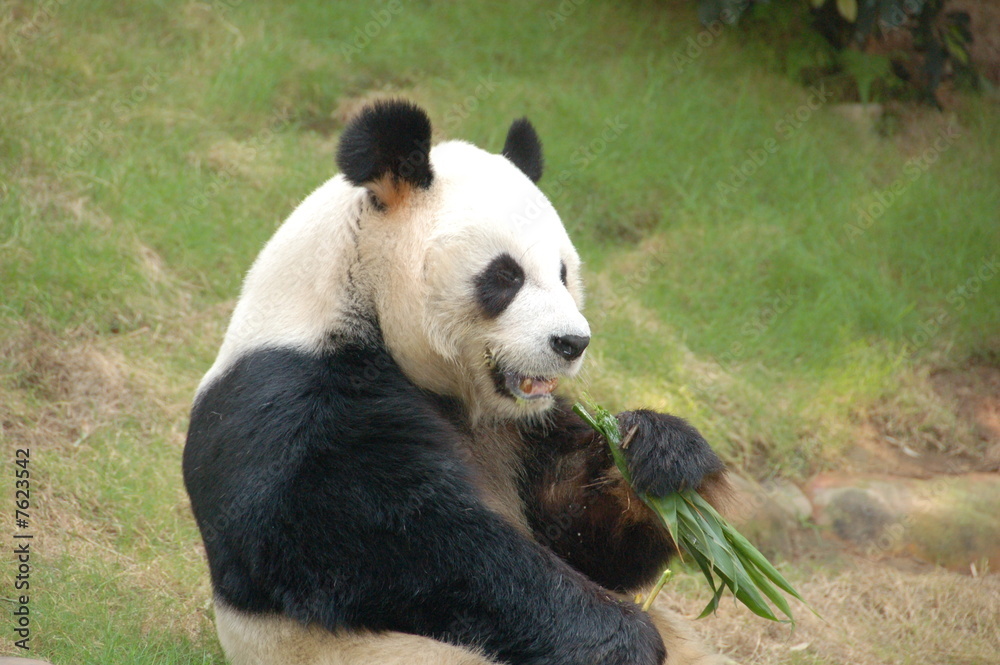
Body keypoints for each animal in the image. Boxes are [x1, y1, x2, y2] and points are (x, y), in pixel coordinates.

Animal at [183, 99, 732, 665]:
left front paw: (657, 453)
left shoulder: (519, 432)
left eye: (562, 272)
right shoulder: (295, 399)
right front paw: (620, 638)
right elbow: (391, 546)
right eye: (505, 276)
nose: (571, 342)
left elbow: (582, 536)